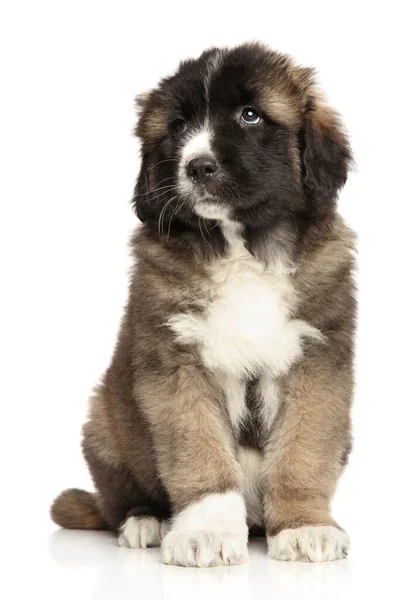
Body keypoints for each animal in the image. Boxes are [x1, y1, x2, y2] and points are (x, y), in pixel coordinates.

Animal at [51, 42, 354, 568]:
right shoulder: (177, 364)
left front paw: (303, 525)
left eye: (250, 115)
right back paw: (146, 521)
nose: (197, 165)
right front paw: (206, 533)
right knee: (118, 501)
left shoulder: (318, 362)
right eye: (177, 127)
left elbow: (303, 452)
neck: (244, 250)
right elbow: (200, 454)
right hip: (105, 426)